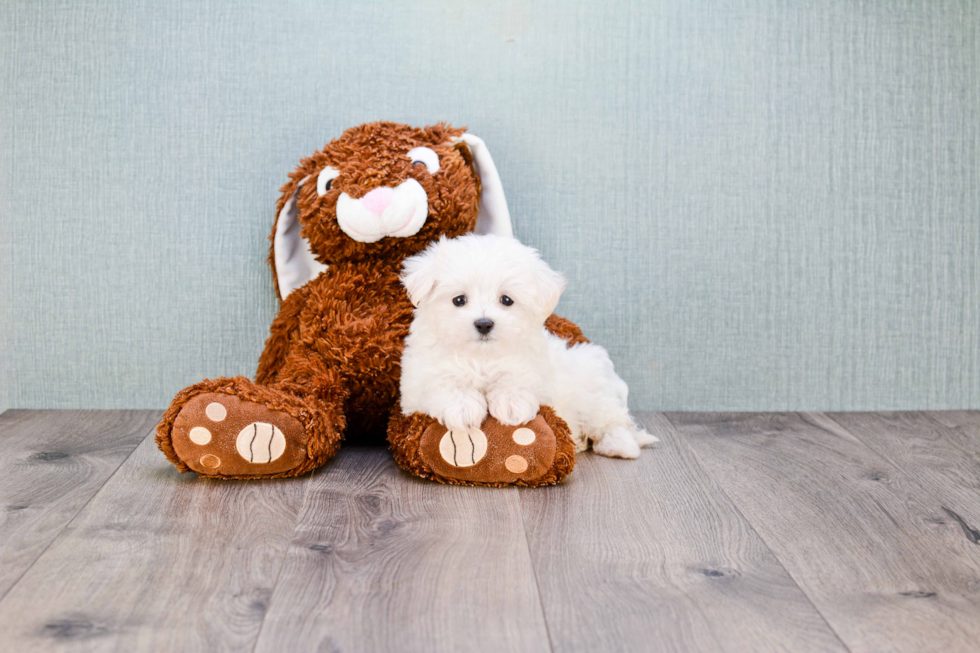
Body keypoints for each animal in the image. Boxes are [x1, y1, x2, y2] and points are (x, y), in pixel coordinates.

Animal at [398, 234, 660, 458]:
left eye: (506, 300)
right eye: (459, 300)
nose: (484, 324)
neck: (481, 357)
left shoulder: (535, 369)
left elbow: (518, 377)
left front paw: (511, 404)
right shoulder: (417, 382)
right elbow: (441, 382)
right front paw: (463, 406)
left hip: (593, 386)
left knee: (613, 420)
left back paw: (619, 446)